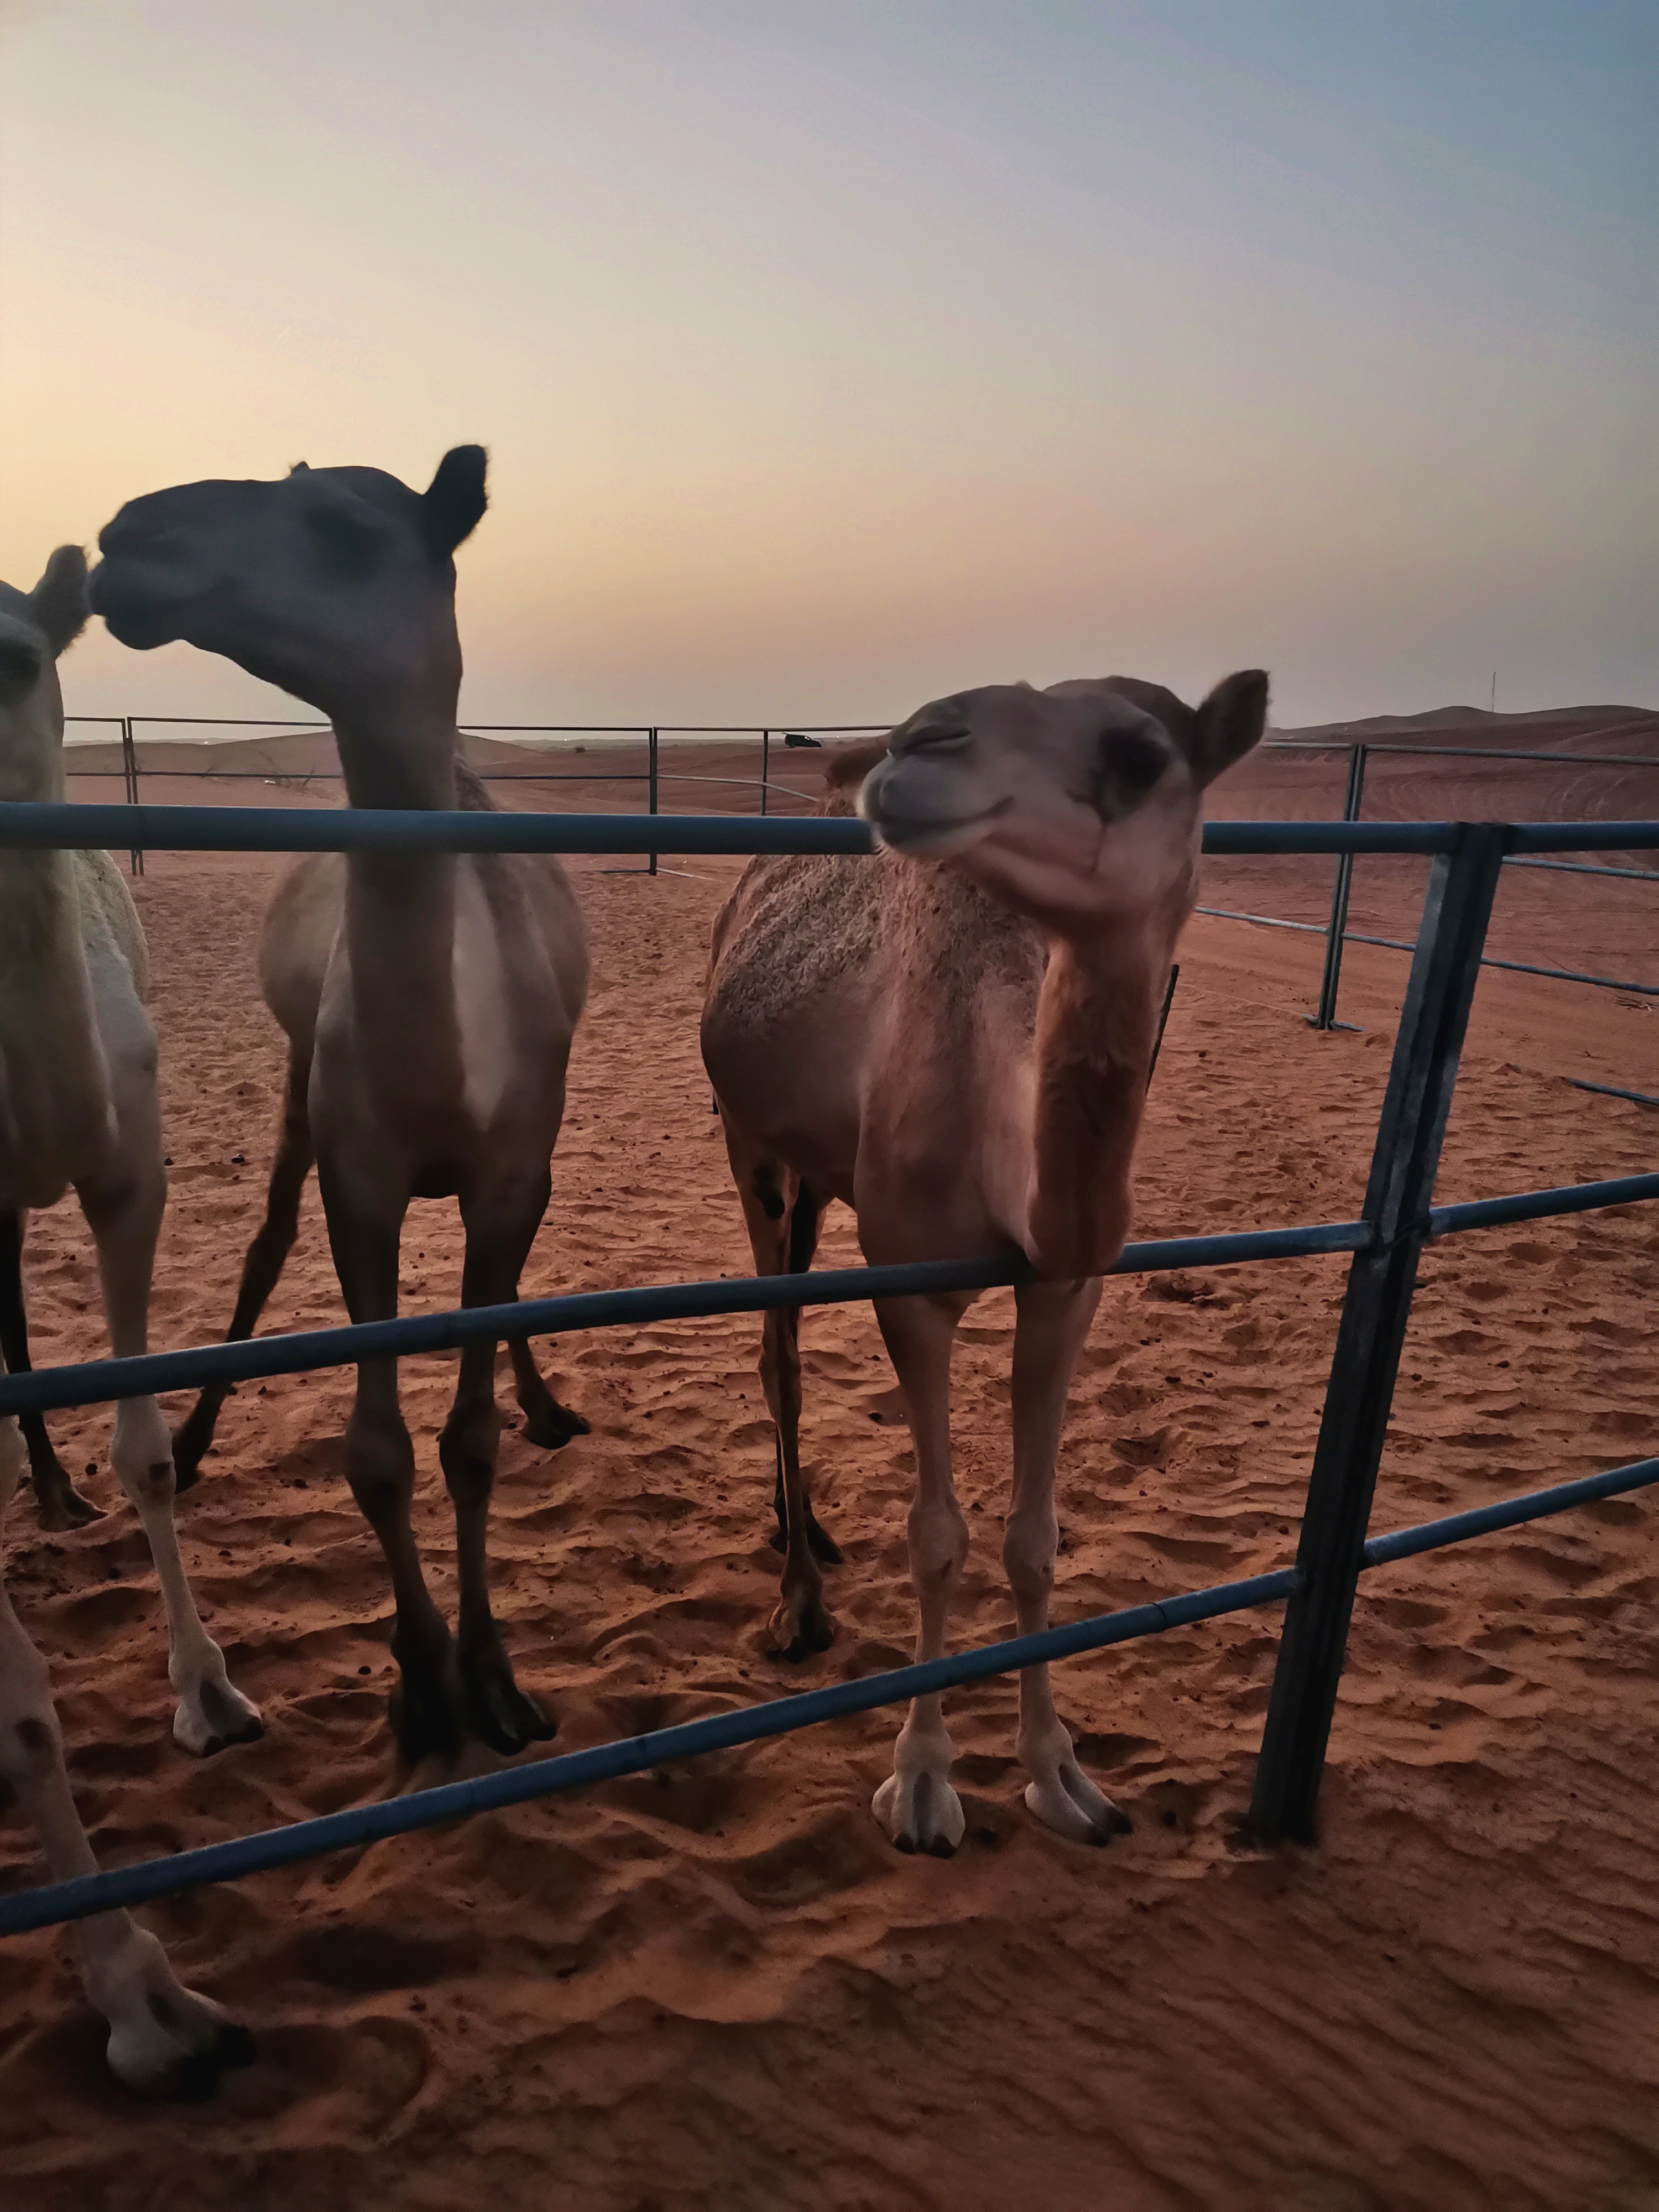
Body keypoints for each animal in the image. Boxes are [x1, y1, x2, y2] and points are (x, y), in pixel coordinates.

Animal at [90, 445, 597, 1761]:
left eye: (344, 527)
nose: (125, 537)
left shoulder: (508, 1168)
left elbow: (468, 1438)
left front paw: (495, 1678)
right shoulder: (358, 1176)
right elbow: (376, 1454)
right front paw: (423, 1684)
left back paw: (546, 1401)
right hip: (295, 1090)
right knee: (265, 1236)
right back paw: (198, 1433)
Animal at [708, 672, 1265, 1849]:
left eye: (1142, 755)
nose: (918, 745)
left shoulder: (1067, 1287)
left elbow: (1031, 1541)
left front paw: (1061, 1774)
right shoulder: (911, 1288)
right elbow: (936, 1537)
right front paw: (921, 1781)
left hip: (819, 1175)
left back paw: (806, 1530)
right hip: (753, 1148)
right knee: (778, 1359)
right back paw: (800, 1601)